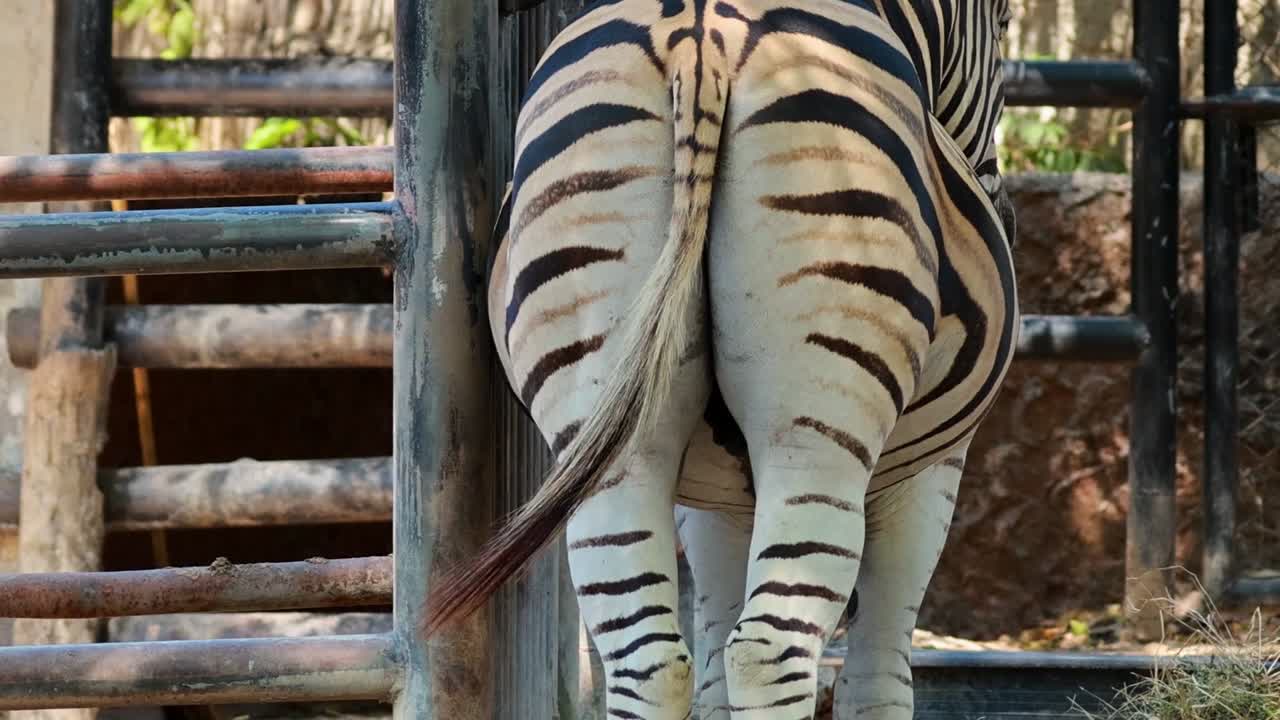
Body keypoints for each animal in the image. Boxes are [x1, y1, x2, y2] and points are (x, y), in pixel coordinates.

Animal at [425, 1, 1018, 719]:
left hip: (611, 439)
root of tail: (698, 36)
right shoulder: (928, 471)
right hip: (814, 436)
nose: (997, 201)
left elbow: (710, 673)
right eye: (1005, 24)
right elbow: (877, 676)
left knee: (649, 660)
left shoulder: (710, 499)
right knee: (771, 649)